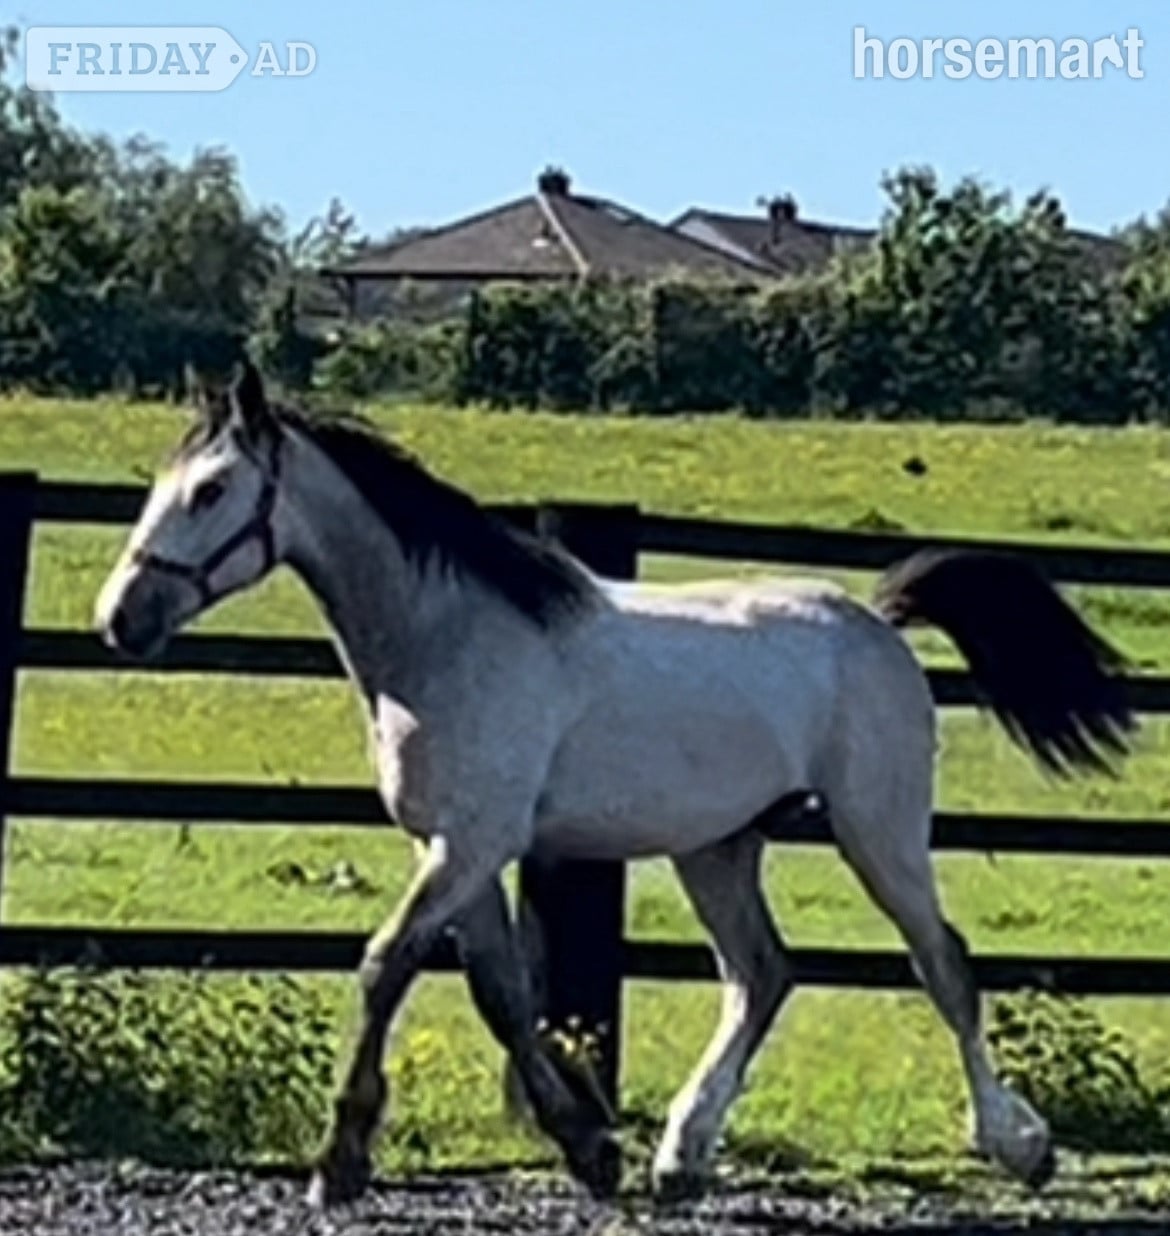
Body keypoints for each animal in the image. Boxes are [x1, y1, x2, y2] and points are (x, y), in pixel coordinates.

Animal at [94, 362, 1134, 1209]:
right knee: (761, 975)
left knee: (943, 965)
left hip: (878, 830)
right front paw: (590, 1149)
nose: (120, 619)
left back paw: (1017, 1146)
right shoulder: (459, 849)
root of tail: (875, 620)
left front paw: (340, 1162)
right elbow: (501, 996)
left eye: (212, 489)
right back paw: (681, 1155)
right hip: (718, 848)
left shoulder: (470, 844)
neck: (447, 641)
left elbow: (386, 965)